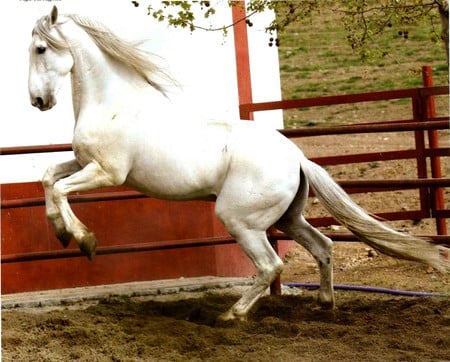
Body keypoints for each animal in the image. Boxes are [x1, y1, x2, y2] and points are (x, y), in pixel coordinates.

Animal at [29, 7, 448, 320]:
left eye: (40, 49)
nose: (38, 101)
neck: (112, 103)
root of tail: (298, 158)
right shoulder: (83, 162)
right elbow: (49, 179)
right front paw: (61, 232)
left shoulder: (107, 173)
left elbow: (62, 190)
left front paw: (84, 240)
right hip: (286, 218)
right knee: (323, 245)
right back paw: (324, 304)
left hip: (240, 220)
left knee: (271, 266)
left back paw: (233, 314)